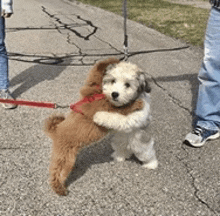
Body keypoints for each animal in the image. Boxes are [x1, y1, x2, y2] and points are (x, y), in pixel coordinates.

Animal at [45, 57, 144, 196]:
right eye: (114, 80)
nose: (115, 94)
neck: (98, 93)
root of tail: (56, 130)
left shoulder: (95, 87)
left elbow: (97, 69)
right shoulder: (107, 108)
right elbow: (123, 108)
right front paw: (137, 103)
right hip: (65, 157)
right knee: (57, 172)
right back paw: (59, 188)